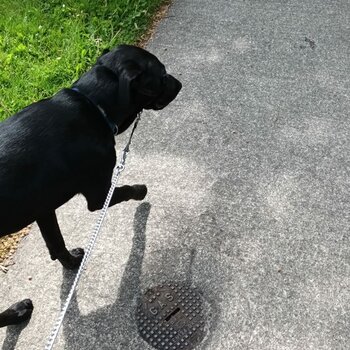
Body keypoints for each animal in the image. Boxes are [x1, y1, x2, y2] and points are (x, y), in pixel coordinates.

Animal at [0, 45, 182, 326]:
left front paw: (72, 263)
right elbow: (126, 190)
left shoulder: (44, 208)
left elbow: (56, 243)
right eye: (161, 75)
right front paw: (141, 192)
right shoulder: (98, 196)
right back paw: (17, 312)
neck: (94, 106)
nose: (180, 84)